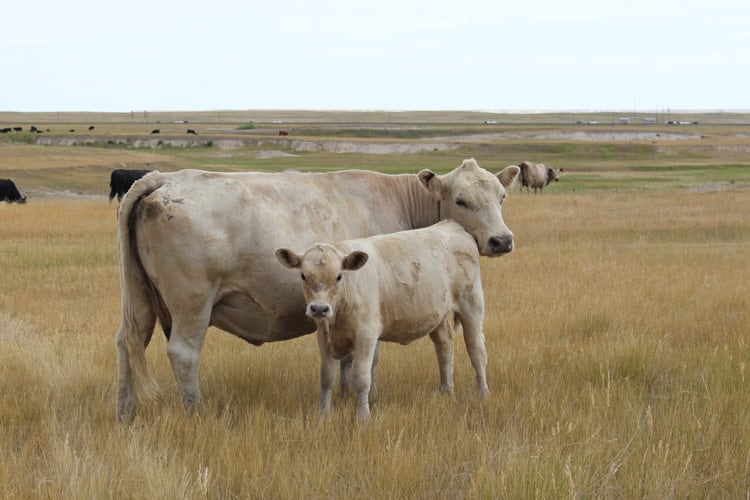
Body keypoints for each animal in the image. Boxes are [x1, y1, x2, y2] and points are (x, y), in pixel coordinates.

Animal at [278, 221, 494, 424]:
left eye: (339, 276)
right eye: (303, 275)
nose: (319, 308)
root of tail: (452, 225)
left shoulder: (366, 335)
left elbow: (361, 378)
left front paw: (363, 417)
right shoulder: (324, 337)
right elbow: (326, 378)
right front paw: (323, 415)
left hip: (472, 306)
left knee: (477, 350)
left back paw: (483, 394)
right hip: (438, 315)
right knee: (445, 347)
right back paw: (446, 391)